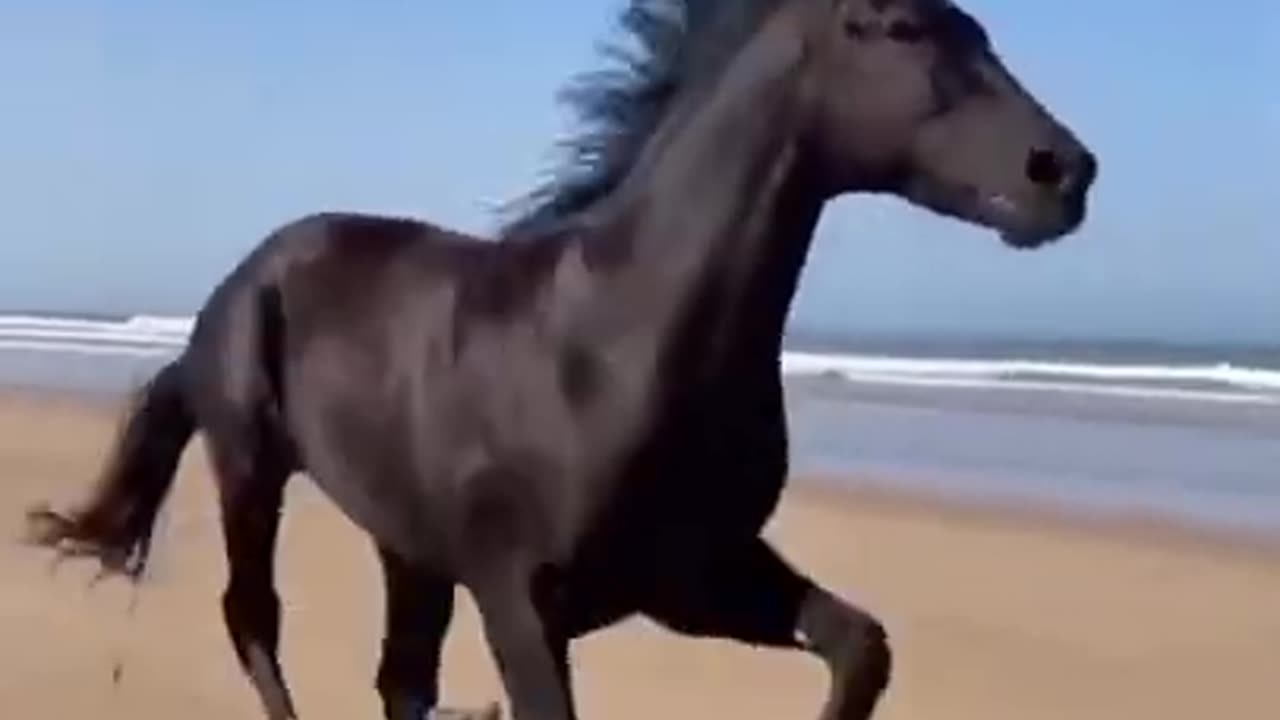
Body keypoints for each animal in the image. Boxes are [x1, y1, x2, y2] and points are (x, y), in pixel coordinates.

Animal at [24, 1, 1095, 717]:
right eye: (900, 27)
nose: (1066, 171)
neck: (615, 350)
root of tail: (242, 277)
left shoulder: (692, 577)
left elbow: (859, 647)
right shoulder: (522, 600)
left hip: (409, 545)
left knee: (397, 677)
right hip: (252, 468)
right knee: (253, 617)